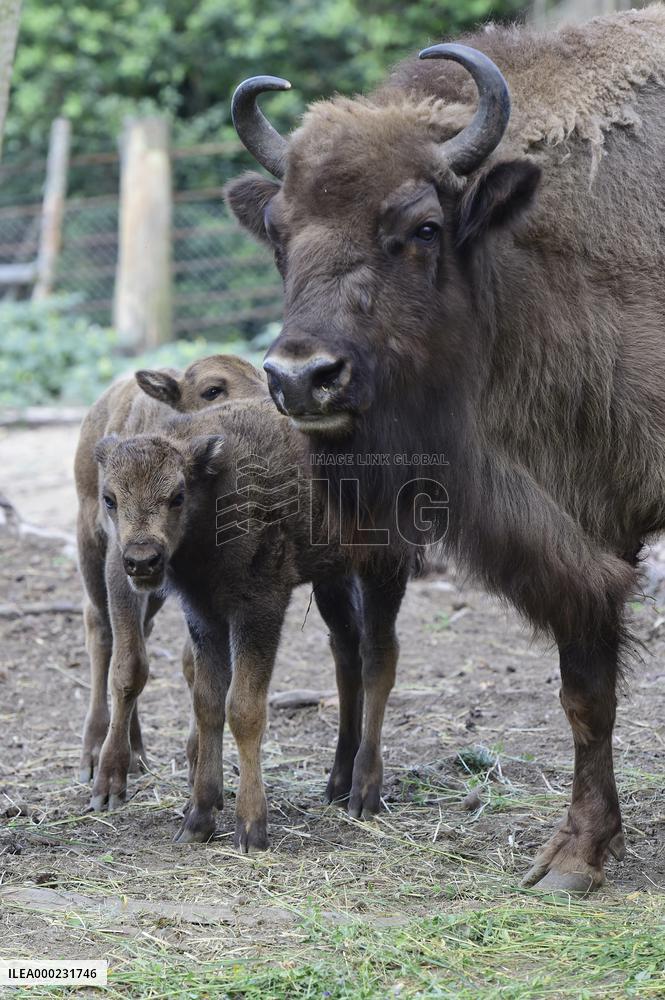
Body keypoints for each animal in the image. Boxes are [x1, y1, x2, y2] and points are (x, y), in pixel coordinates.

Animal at [76, 355, 269, 785]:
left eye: (266, 378)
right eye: (213, 390)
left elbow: (195, 668)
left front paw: (197, 761)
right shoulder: (122, 565)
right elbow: (129, 665)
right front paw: (110, 772)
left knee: (139, 631)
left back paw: (138, 750)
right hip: (90, 547)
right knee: (100, 628)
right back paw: (95, 750)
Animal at [91, 400, 409, 848]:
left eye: (176, 496)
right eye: (109, 498)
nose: (141, 561)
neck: (213, 489)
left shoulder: (259, 610)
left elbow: (244, 708)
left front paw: (251, 827)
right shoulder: (204, 615)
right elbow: (207, 703)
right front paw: (198, 819)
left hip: (385, 566)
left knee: (379, 658)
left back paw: (365, 793)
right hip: (333, 579)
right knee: (346, 654)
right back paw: (337, 783)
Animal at [224, 7, 665, 891]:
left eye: (421, 227)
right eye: (280, 234)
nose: (301, 378)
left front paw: (572, 860)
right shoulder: (576, 529)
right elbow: (584, 693)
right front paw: (577, 856)